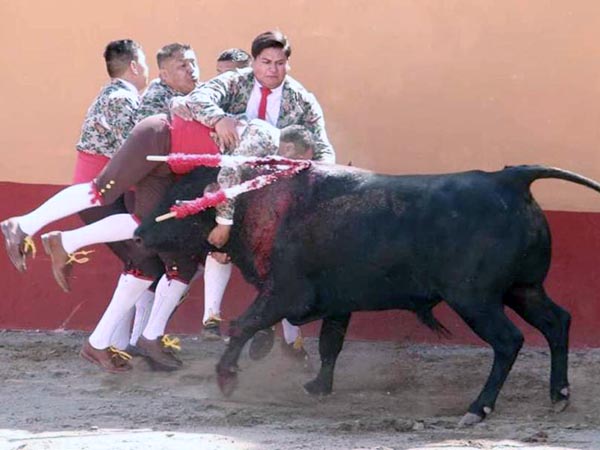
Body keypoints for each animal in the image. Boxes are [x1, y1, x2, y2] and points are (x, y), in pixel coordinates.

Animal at [136, 164, 600, 426]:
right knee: (557, 322)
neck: (259, 204)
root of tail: (509, 179)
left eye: (180, 199)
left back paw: (478, 408)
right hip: (524, 289)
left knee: (509, 341)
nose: (139, 233)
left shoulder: (285, 293)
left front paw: (227, 377)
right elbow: (330, 344)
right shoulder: (338, 304)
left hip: (477, 300)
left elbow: (244, 325)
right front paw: (317, 387)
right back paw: (559, 396)